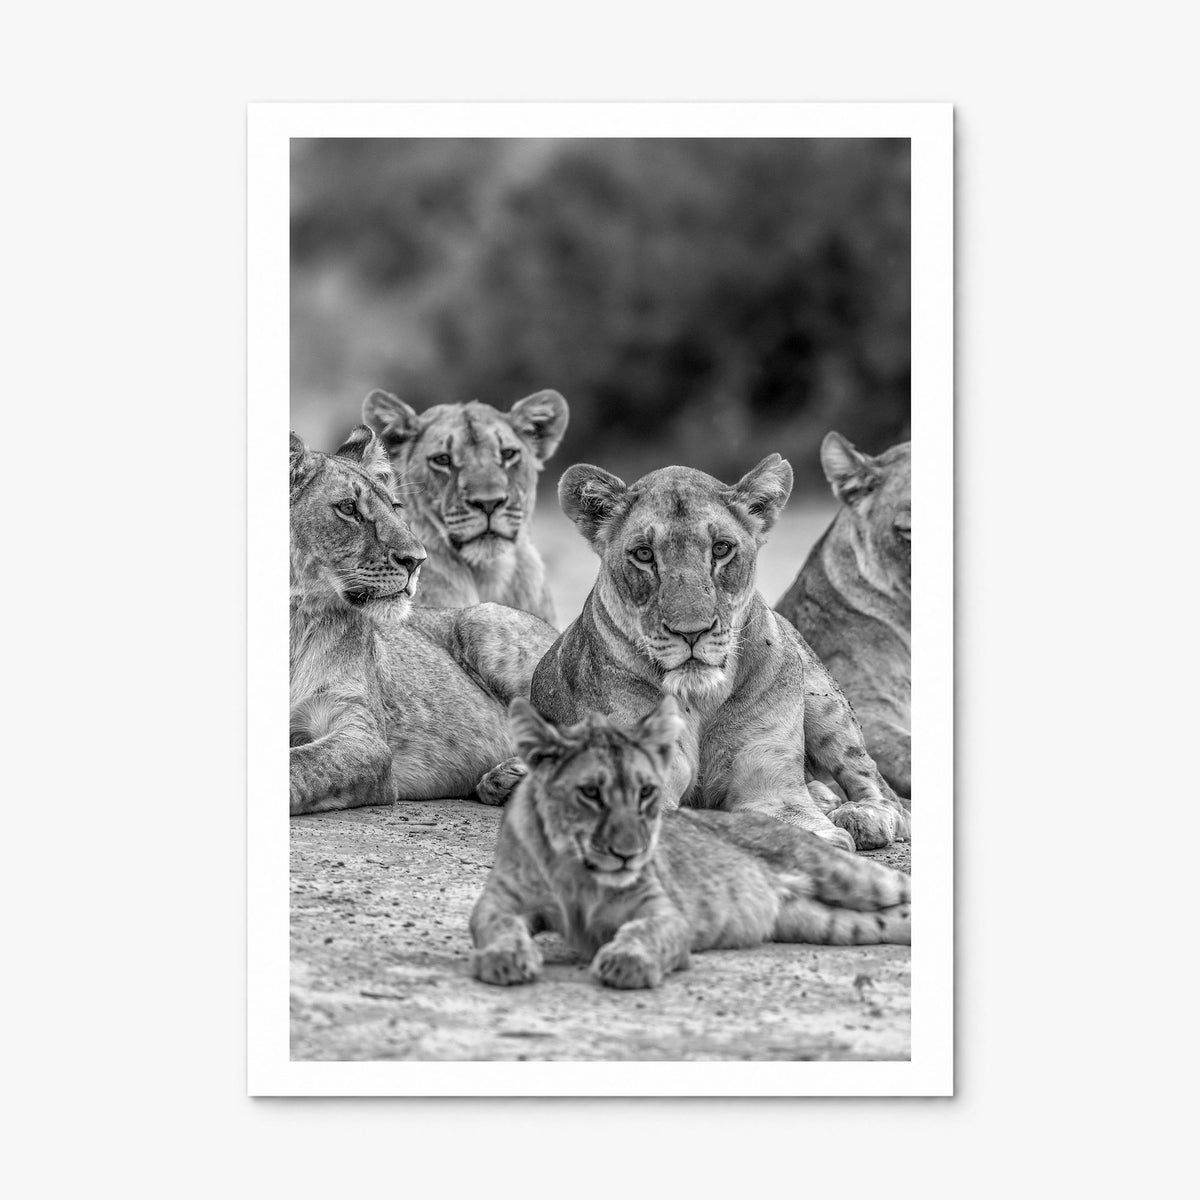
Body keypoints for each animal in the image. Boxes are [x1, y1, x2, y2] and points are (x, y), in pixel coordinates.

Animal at [289, 425, 559, 815]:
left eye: (395, 507)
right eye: (348, 508)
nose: (417, 560)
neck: (293, 622)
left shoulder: (364, 738)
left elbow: (297, 766)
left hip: (482, 619)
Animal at [470, 697, 911, 990]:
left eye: (647, 792)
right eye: (591, 792)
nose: (630, 852)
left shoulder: (665, 912)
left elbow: (646, 933)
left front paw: (626, 963)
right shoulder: (499, 903)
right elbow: (497, 926)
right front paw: (505, 959)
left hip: (847, 874)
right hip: (823, 922)